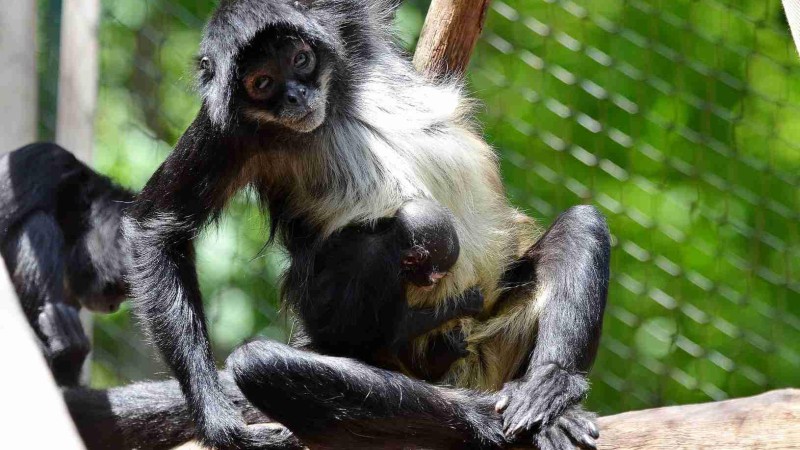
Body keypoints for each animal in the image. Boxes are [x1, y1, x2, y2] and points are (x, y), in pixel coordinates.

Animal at [125, 1, 608, 448]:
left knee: (582, 223)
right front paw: (217, 422)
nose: (296, 96)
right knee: (263, 358)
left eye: (301, 60)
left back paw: (550, 391)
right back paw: (478, 418)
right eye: (262, 83)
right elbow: (156, 228)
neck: (333, 102)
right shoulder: (229, 130)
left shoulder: (344, 22)